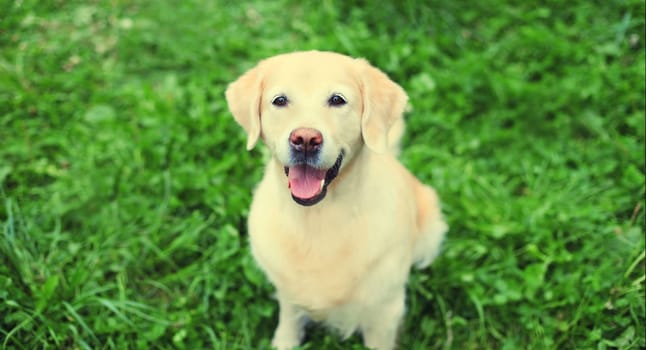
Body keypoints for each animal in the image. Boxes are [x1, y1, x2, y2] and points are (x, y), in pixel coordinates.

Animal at [227, 50, 446, 350]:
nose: (305, 139)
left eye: (337, 100)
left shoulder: (385, 310)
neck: (318, 218)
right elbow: (289, 321)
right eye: (280, 100)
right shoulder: (288, 292)